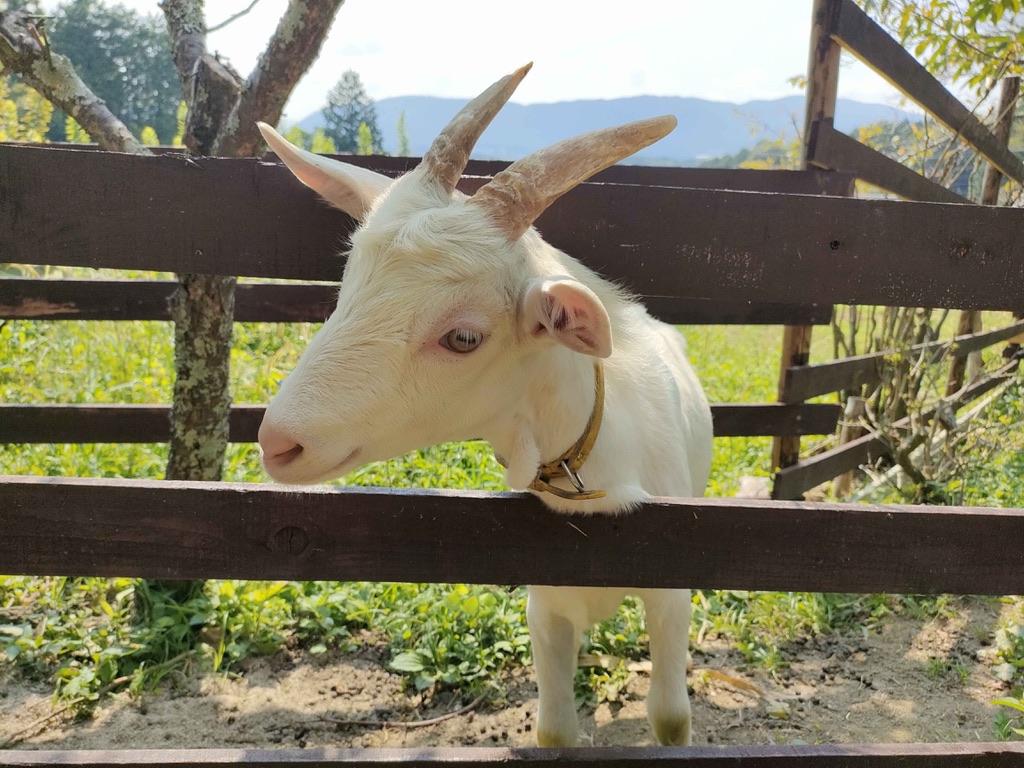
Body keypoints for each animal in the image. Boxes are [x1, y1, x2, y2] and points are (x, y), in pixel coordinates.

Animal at [256, 63, 712, 749]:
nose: (277, 441)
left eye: (464, 338)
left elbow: (670, 715)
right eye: (347, 286)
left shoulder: (672, 595)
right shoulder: (545, 603)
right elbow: (553, 729)